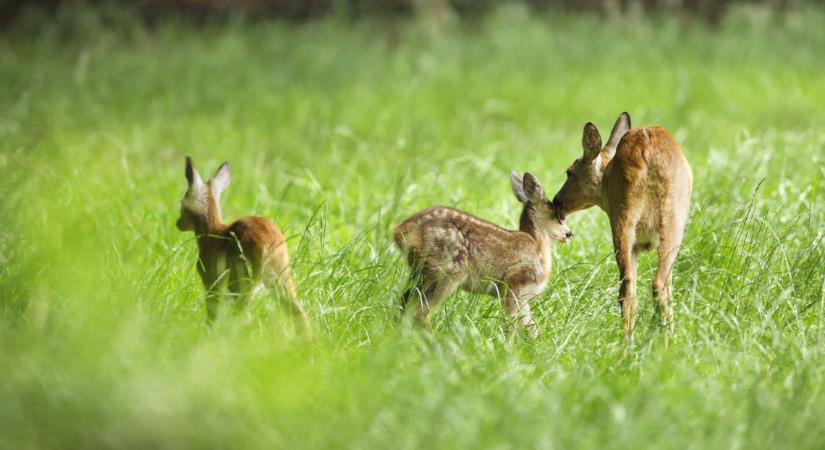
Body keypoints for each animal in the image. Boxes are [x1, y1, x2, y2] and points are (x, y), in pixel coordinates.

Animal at [175, 156, 310, 336]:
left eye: (182, 206)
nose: (178, 224)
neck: (211, 232)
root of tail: (268, 243)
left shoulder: (210, 277)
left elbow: (213, 310)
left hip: (240, 274)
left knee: (242, 314)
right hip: (281, 273)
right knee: (299, 312)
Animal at [396, 171, 568, 342]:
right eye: (555, 215)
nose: (569, 234)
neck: (539, 248)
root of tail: (401, 231)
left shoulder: (523, 298)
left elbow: (531, 328)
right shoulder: (514, 284)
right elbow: (510, 325)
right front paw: (507, 347)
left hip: (421, 271)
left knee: (405, 303)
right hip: (445, 271)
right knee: (420, 311)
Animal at [552, 113, 692, 344]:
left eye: (569, 172)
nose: (556, 201)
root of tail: (647, 151)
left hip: (639, 217)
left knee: (634, 287)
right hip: (662, 219)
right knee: (651, 285)